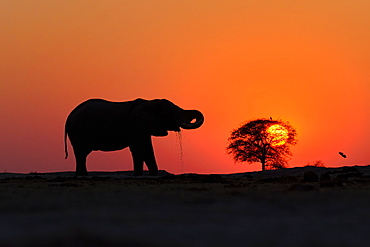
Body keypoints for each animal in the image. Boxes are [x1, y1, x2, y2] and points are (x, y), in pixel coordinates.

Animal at [65, 98, 204, 176]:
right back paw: (83, 175)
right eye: (170, 112)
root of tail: (69, 115)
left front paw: (153, 175)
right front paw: (138, 175)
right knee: (81, 153)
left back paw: (81, 175)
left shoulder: (144, 128)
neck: (149, 102)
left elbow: (148, 150)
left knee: (81, 155)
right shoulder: (134, 127)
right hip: (79, 131)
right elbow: (139, 149)